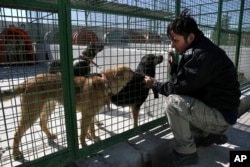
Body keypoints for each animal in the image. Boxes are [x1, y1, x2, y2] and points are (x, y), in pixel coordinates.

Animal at [0, 65, 139, 160]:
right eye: (131, 72)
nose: (140, 74)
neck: (105, 83)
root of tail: (27, 81)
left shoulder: (91, 114)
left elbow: (91, 129)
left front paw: (93, 138)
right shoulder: (86, 115)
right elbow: (82, 133)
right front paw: (85, 147)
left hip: (49, 107)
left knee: (42, 123)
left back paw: (50, 135)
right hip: (32, 113)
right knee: (17, 133)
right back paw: (15, 154)